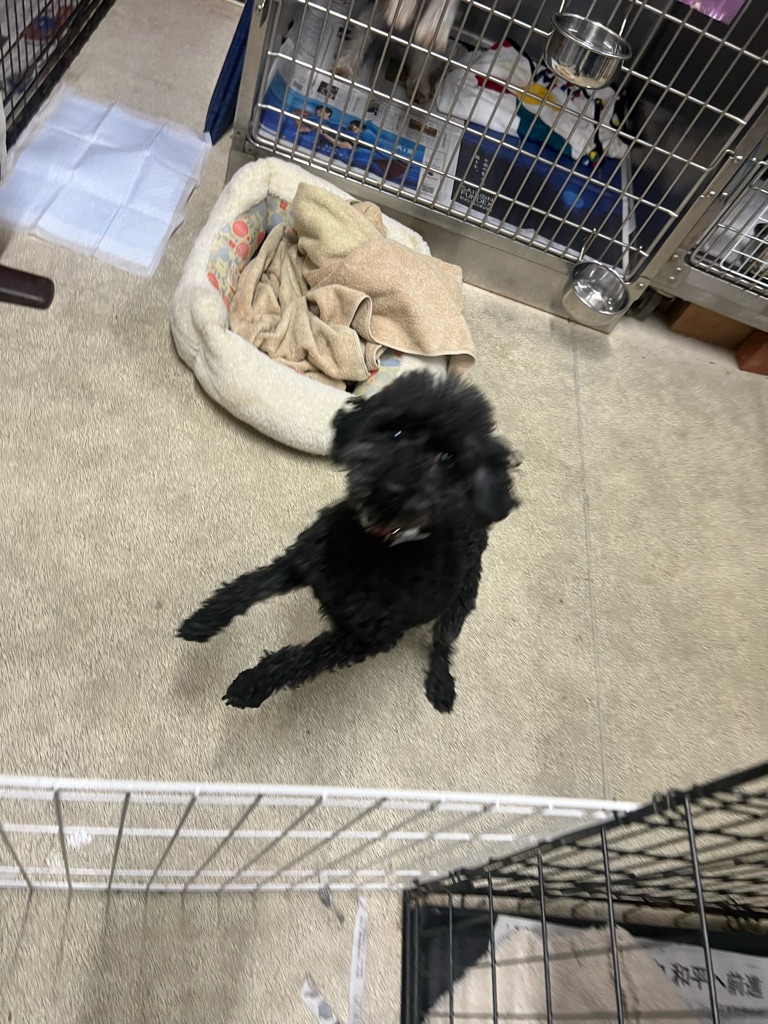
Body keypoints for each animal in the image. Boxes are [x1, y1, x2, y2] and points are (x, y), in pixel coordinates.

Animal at [178, 372, 520, 713]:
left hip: (460, 603)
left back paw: (441, 685)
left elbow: (300, 659)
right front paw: (204, 620)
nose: (393, 488)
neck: (376, 542)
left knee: (443, 643)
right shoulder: (305, 561)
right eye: (395, 432)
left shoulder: (364, 638)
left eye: (447, 457)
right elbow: (251, 585)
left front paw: (251, 685)